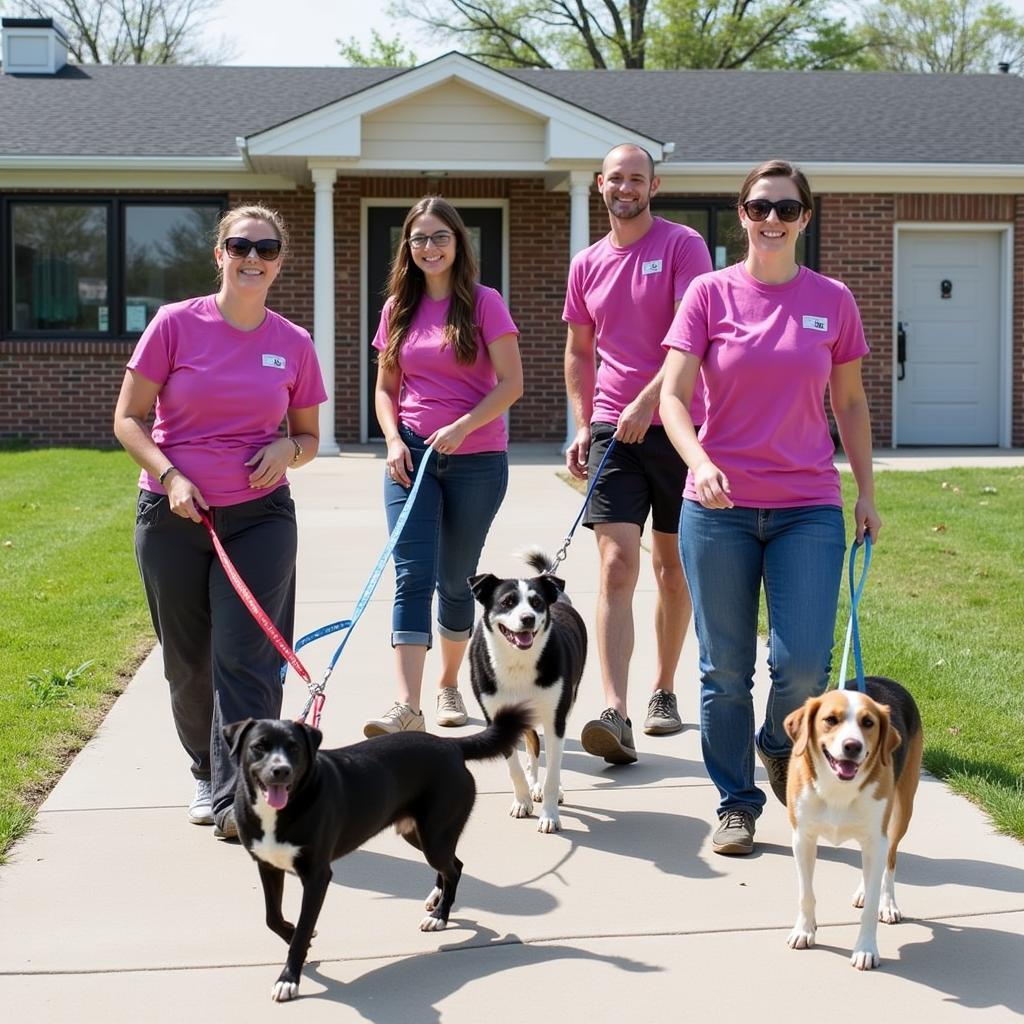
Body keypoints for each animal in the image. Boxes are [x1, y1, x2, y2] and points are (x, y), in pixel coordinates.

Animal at [224, 708, 528, 1003]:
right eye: (259, 746)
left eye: (294, 748)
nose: (281, 770)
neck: (282, 809)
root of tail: (450, 745)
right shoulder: (267, 865)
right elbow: (272, 918)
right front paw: (295, 935)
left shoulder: (317, 876)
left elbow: (301, 929)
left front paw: (289, 978)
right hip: (420, 834)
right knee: (454, 863)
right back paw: (436, 899)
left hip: (435, 835)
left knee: (453, 869)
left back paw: (440, 915)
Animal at [468, 552, 589, 831]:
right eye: (507, 602)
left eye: (536, 602)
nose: (528, 618)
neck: (518, 662)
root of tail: (560, 596)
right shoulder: (497, 718)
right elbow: (514, 768)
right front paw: (522, 801)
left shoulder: (555, 718)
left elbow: (553, 772)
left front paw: (550, 816)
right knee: (532, 744)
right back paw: (532, 784)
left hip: (566, 702)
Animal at [786, 675, 925, 970]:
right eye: (830, 719)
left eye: (868, 723)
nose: (853, 746)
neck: (838, 789)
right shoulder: (803, 839)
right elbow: (806, 894)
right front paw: (804, 930)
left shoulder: (876, 838)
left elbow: (871, 905)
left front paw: (866, 949)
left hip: (901, 813)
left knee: (889, 860)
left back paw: (888, 903)